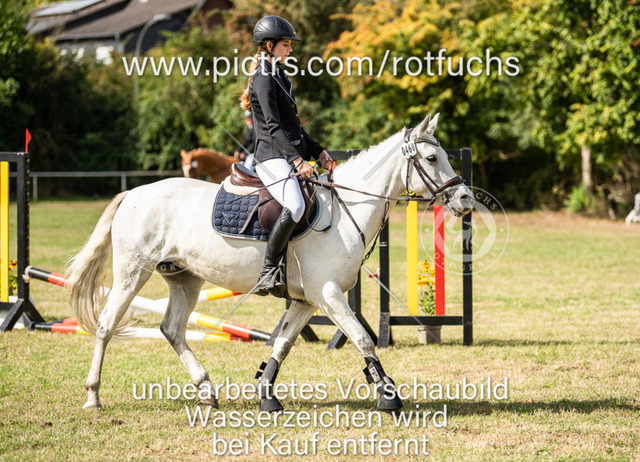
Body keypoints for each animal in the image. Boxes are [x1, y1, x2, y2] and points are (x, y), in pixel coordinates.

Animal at [68, 113, 474, 412]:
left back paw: (206, 390)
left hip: (185, 278)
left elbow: (283, 344)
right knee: (106, 325)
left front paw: (267, 395)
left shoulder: (308, 300)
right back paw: (93, 396)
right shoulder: (328, 294)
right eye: (432, 159)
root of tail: (132, 193)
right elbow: (361, 338)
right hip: (132, 272)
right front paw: (388, 396)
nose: (466, 199)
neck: (345, 209)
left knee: (172, 329)